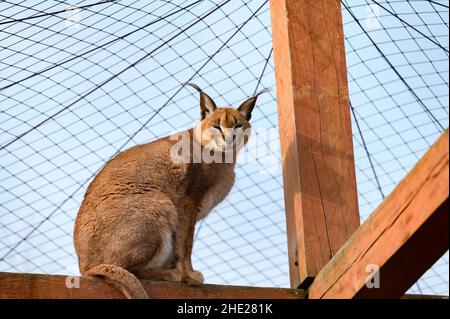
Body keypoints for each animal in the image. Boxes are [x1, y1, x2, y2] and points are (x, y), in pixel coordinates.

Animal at [72, 84, 266, 298]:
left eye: (238, 126)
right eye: (216, 126)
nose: (229, 138)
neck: (225, 157)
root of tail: (85, 266)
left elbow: (179, 244)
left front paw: (184, 273)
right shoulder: (188, 200)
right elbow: (186, 242)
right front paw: (189, 275)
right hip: (158, 202)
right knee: (129, 268)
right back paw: (170, 274)